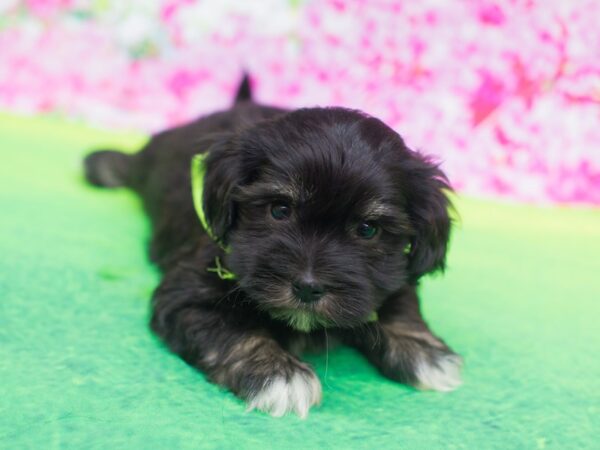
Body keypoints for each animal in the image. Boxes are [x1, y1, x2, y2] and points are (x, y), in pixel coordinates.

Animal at [84, 76, 462, 418]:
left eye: (368, 229)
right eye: (280, 210)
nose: (308, 287)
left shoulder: (392, 273)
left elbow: (399, 302)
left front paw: (426, 353)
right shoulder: (186, 292)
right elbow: (233, 331)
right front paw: (279, 375)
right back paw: (104, 165)